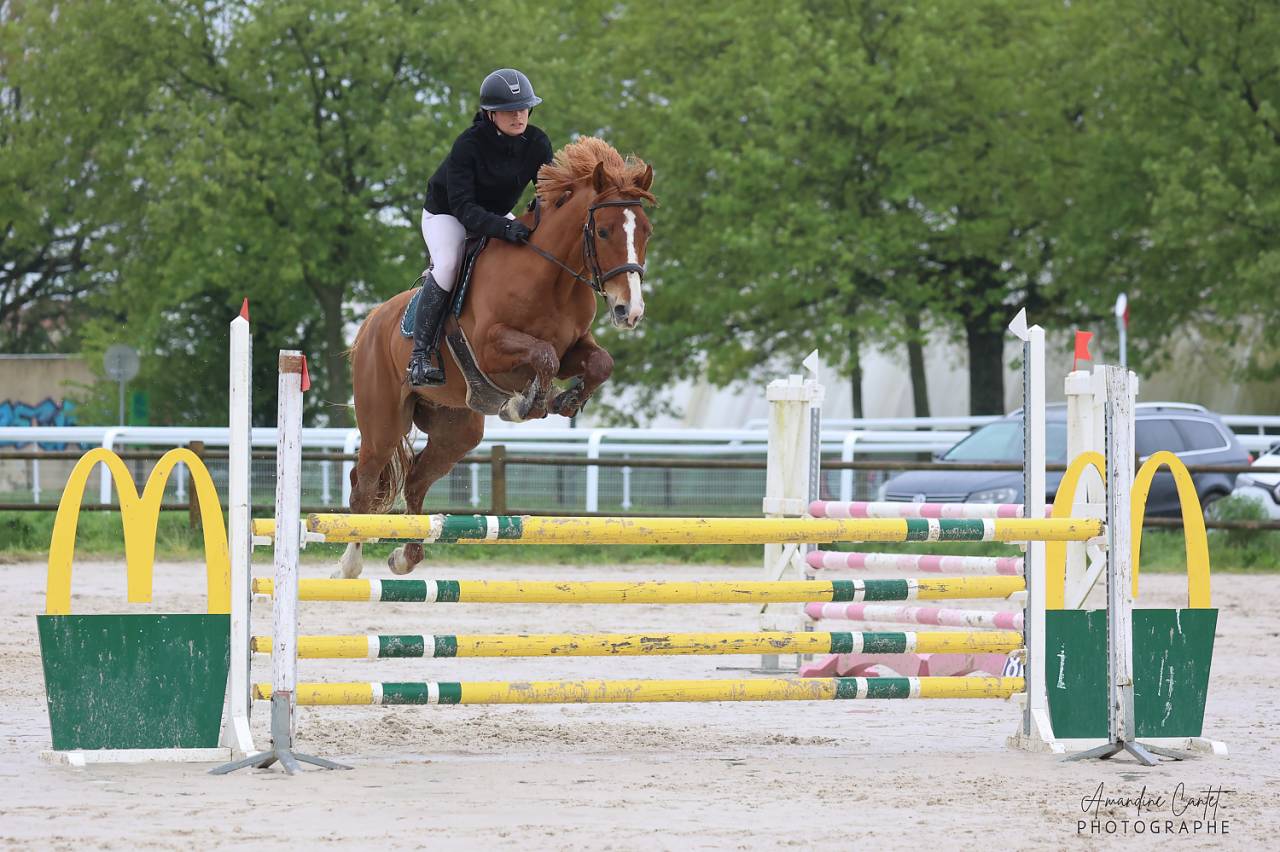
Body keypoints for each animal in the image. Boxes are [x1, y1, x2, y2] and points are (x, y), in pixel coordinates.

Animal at [337, 137, 656, 579]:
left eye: (646, 231)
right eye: (604, 230)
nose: (631, 311)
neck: (551, 278)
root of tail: (370, 322)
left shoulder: (574, 346)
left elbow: (598, 363)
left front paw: (567, 400)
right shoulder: (490, 349)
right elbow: (543, 357)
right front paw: (527, 404)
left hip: (457, 429)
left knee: (416, 479)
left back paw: (406, 556)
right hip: (383, 422)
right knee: (364, 483)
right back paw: (349, 565)